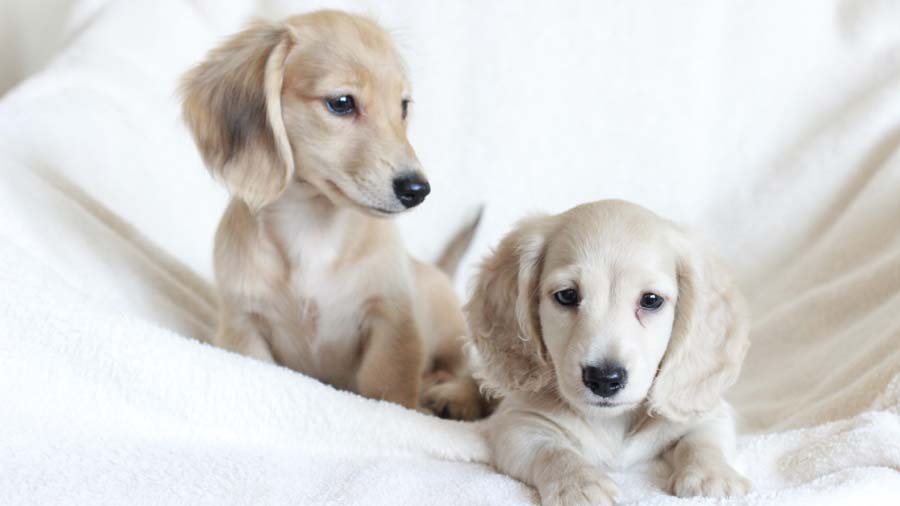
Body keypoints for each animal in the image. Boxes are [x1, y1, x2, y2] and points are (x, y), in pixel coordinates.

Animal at [181, 11, 486, 422]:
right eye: (342, 103)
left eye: (403, 106)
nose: (417, 189)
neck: (313, 230)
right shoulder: (244, 326)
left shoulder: (389, 326)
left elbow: (389, 389)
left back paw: (451, 395)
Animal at [468, 201, 748, 506]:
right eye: (567, 295)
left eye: (651, 300)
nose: (604, 378)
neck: (613, 421)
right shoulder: (517, 424)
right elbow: (553, 451)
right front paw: (579, 484)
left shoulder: (708, 414)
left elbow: (702, 441)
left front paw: (712, 476)